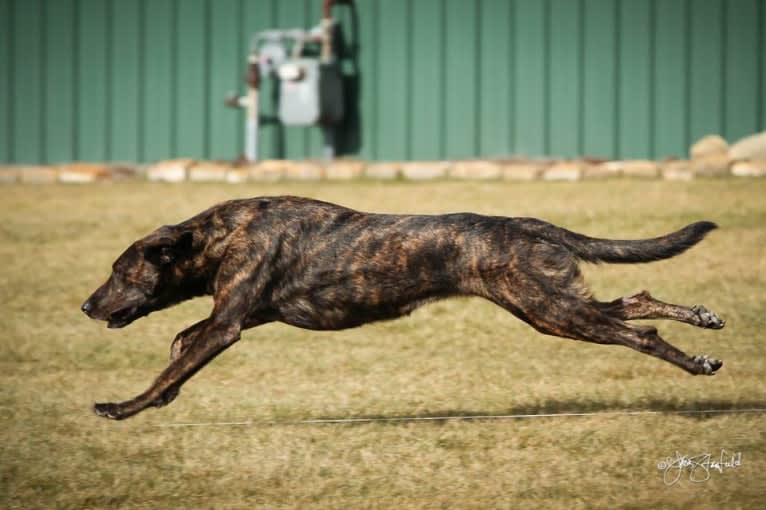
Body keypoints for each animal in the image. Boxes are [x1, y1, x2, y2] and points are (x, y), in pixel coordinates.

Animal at [84, 195, 728, 418]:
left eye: (119, 271)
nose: (87, 306)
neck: (223, 233)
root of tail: (526, 223)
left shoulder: (228, 325)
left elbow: (174, 360)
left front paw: (124, 408)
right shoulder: (242, 315)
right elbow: (179, 348)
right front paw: (164, 395)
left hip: (551, 311)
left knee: (639, 335)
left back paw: (696, 363)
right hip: (554, 304)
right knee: (635, 301)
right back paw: (705, 322)